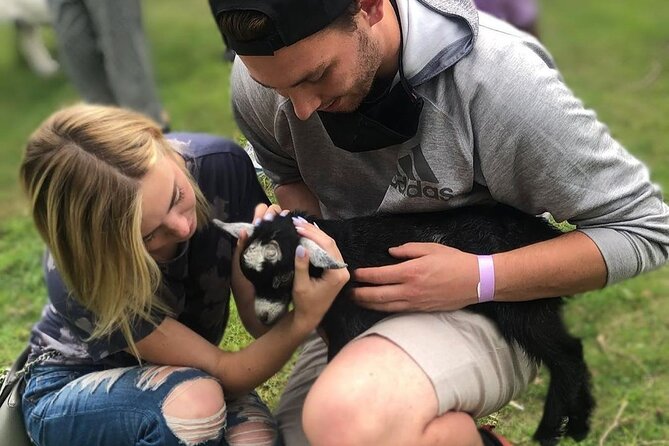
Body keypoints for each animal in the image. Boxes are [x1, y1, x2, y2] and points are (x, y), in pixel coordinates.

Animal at [213, 204, 588, 444]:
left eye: (283, 278)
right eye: (247, 276)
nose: (264, 317)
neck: (340, 245)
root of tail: (542, 232)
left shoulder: (350, 322)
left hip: (523, 304)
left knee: (567, 354)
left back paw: (556, 429)